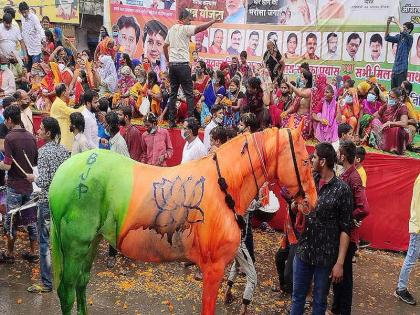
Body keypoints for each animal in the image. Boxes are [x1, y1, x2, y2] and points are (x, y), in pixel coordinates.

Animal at [49, 126, 316, 315]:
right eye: (305, 161)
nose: (312, 202)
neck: (223, 187)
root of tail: (63, 173)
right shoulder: (213, 269)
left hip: (92, 243)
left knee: (81, 283)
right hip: (75, 248)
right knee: (67, 291)